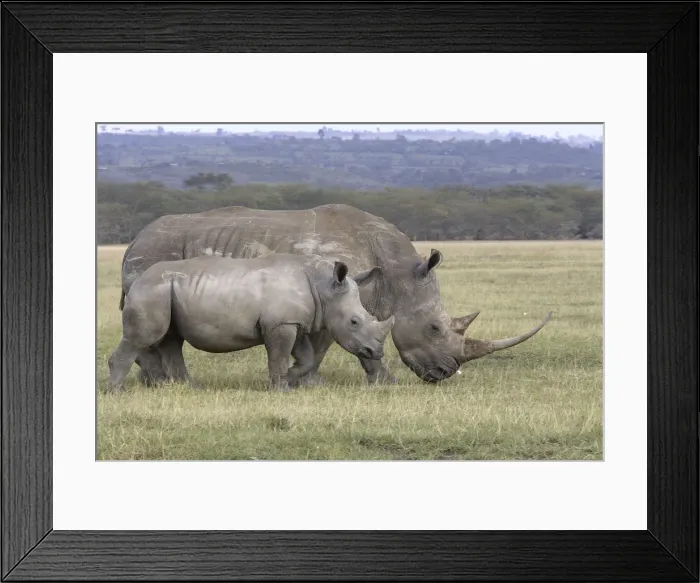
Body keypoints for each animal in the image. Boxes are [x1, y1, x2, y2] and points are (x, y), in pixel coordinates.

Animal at [108, 254, 394, 391]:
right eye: (354, 322)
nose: (376, 352)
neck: (323, 288)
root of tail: (136, 279)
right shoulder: (281, 324)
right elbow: (278, 356)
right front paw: (280, 389)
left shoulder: (292, 322)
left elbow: (306, 357)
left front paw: (290, 379)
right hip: (151, 291)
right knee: (145, 338)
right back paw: (117, 392)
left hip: (165, 291)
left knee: (171, 339)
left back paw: (189, 388)